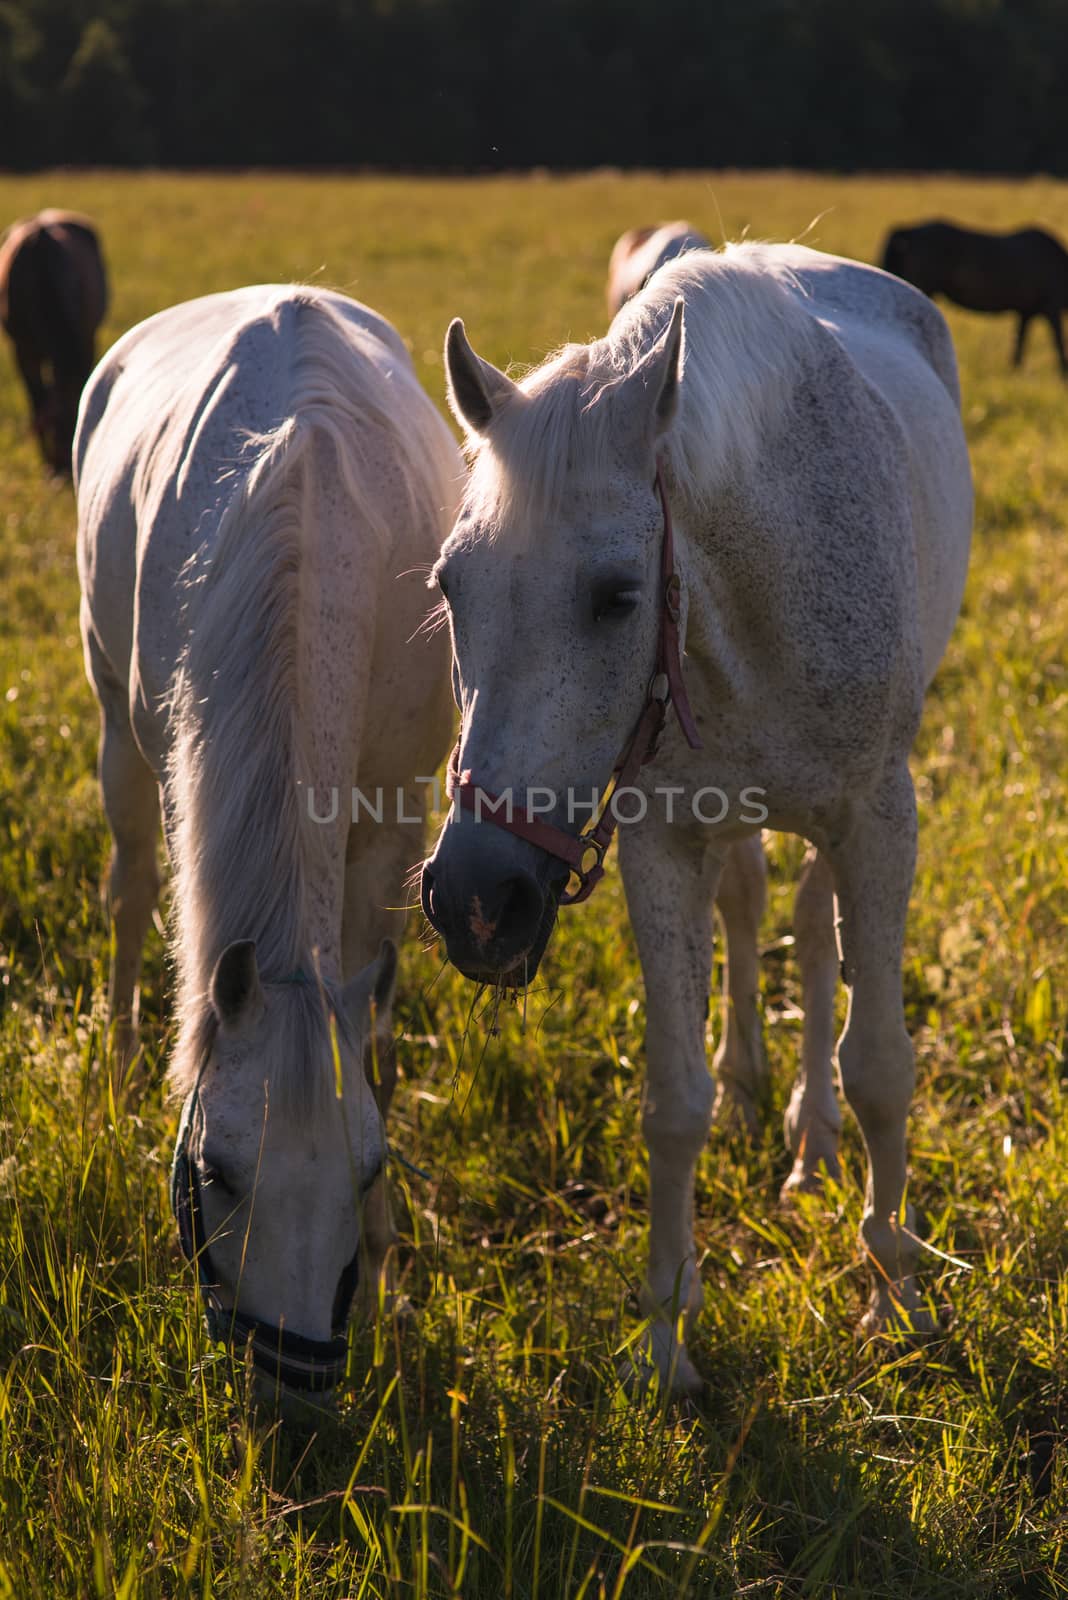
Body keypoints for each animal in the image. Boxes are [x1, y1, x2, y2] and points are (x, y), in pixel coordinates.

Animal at [0, 208, 107, 467]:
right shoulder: (22, 348)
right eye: (52, 429)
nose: (62, 470)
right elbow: (36, 398)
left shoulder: (86, 340)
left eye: (72, 428)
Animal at [75, 288, 460, 1414]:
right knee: (127, 892)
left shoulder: (396, 816)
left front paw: (385, 1279)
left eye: (367, 1169)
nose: (292, 1389)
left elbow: (371, 1027)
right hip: (114, 725)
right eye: (219, 1173)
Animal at [422, 243, 972, 1395]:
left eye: (617, 595)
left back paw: (812, 1148)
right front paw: (665, 1334)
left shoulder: (877, 819)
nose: (475, 899)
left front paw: (895, 1293)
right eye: (451, 586)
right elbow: (672, 1103)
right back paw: (758, 1088)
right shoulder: (660, 839)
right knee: (754, 907)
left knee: (809, 929)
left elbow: (881, 1067)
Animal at [882, 219, 1068, 374]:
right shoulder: (1051, 306)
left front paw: (1016, 371)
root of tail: (907, 231)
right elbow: (1058, 342)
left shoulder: (1026, 311)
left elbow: (1020, 342)